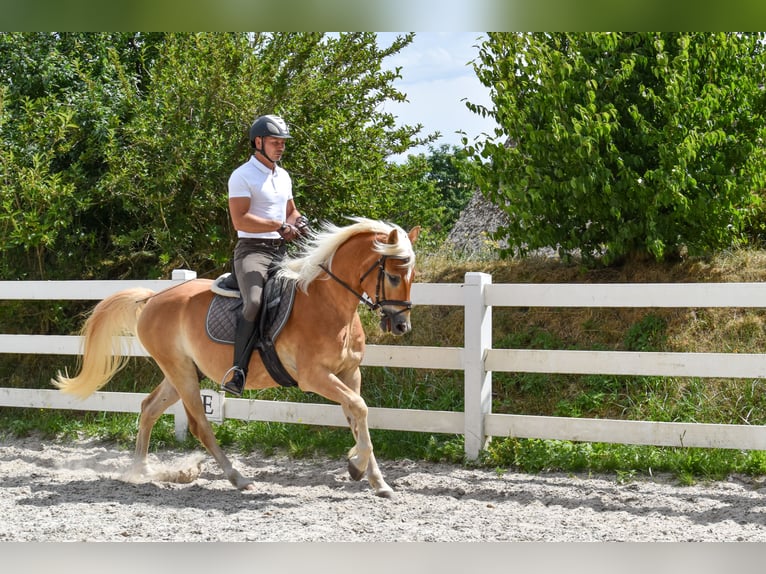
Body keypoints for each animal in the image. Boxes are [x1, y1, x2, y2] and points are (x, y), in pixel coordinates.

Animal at [53, 218, 420, 498]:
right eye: (392, 275)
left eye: (413, 276)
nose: (401, 325)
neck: (328, 304)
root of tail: (153, 298)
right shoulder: (314, 377)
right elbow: (359, 409)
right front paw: (358, 467)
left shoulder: (349, 373)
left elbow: (357, 416)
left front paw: (375, 480)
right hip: (181, 372)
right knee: (199, 425)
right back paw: (238, 478)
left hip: (182, 371)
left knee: (148, 408)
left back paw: (142, 470)